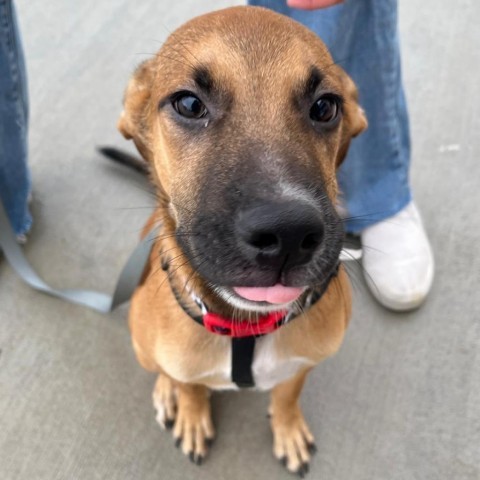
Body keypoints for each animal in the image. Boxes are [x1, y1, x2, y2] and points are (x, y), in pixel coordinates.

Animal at [114, 4, 366, 476]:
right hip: (139, 340)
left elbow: (288, 394)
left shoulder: (301, 366)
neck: (247, 330)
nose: (288, 234)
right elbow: (189, 386)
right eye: (189, 104)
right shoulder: (181, 362)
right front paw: (191, 413)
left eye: (325, 106)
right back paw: (166, 393)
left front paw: (287, 429)